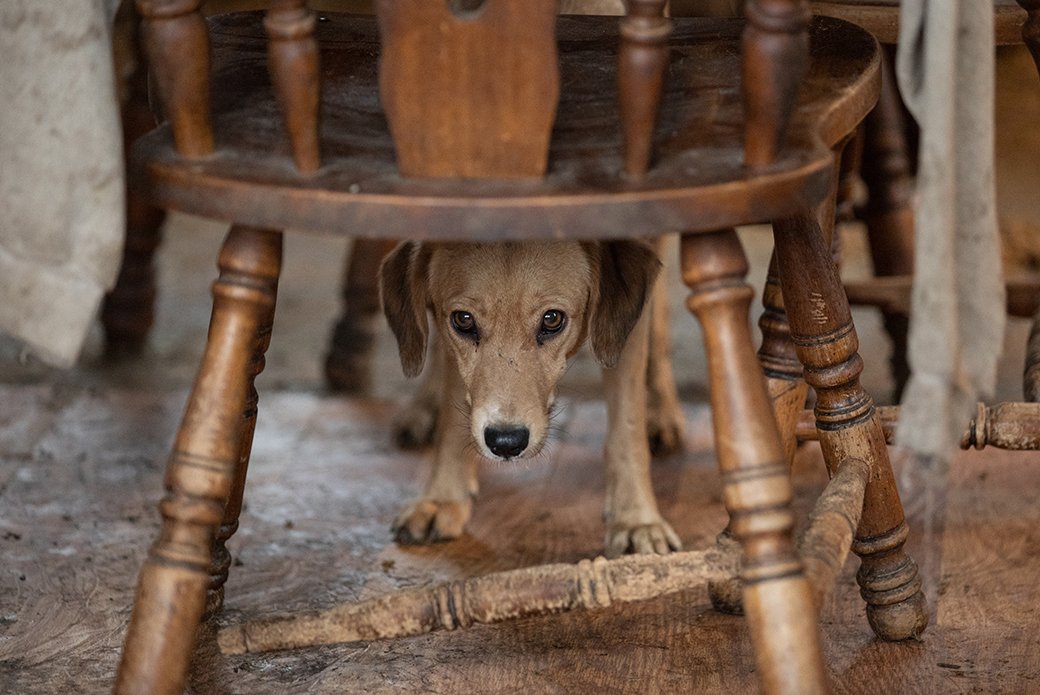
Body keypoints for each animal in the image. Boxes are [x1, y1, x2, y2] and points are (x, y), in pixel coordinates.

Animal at [380, 241, 682, 557]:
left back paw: (660, 409)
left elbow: (626, 427)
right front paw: (443, 497)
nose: (506, 442)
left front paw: (636, 520)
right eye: (463, 320)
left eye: (552, 319)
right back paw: (425, 405)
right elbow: (452, 417)